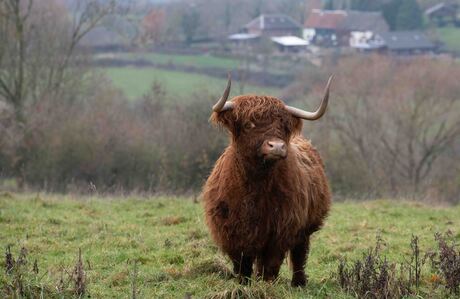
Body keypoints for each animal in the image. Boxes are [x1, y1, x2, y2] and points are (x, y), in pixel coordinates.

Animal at [203, 75, 332, 288]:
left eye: (284, 127)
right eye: (249, 125)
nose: (277, 146)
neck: (256, 185)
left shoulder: (280, 230)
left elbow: (270, 265)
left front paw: (266, 285)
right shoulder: (231, 231)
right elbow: (242, 264)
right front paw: (243, 285)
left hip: (305, 228)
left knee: (299, 254)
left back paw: (298, 283)